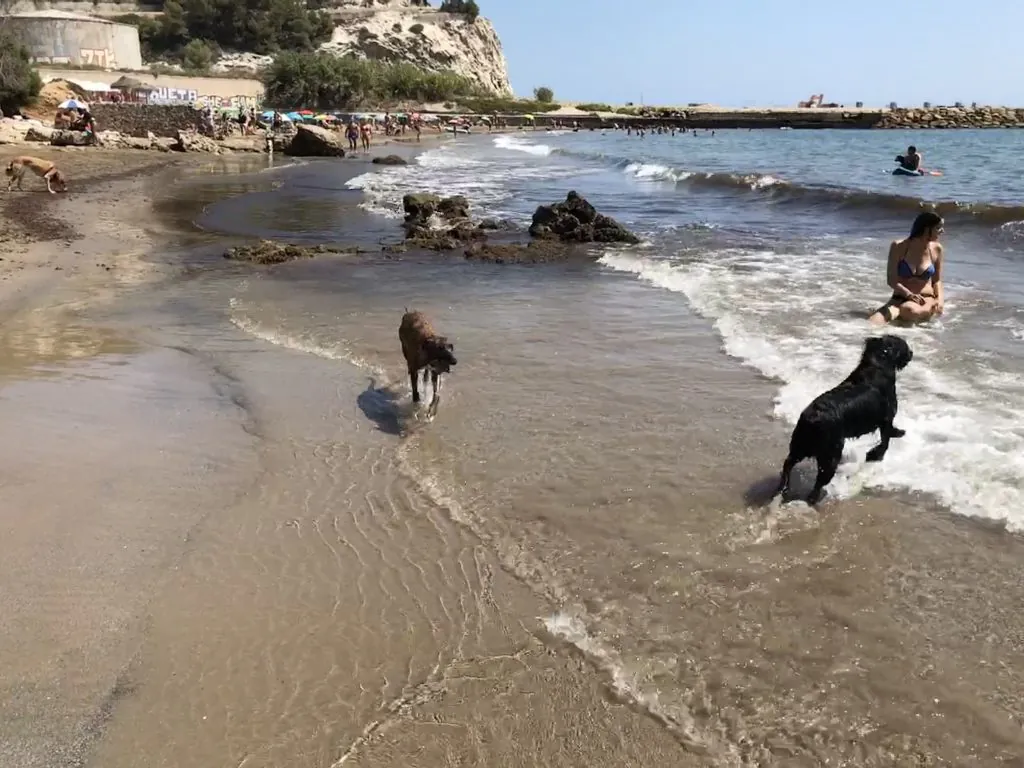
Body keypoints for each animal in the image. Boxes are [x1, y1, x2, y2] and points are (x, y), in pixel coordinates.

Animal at [774, 335, 913, 505]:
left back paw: (784, 486)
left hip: (800, 445)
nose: (912, 353)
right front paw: (877, 453)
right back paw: (816, 497)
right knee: (819, 481)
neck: (877, 363)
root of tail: (812, 418)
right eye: (905, 346)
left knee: (788, 463)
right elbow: (885, 440)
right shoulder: (887, 418)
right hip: (831, 455)